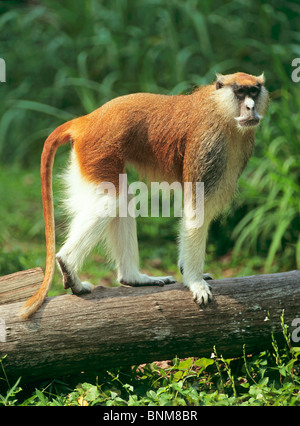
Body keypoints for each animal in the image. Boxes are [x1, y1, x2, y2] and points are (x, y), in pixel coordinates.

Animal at [20, 72, 270, 320]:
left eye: (254, 91)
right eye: (240, 92)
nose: (250, 107)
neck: (220, 110)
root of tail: (88, 119)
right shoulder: (208, 146)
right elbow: (196, 209)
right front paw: (195, 281)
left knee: (123, 200)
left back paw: (133, 278)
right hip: (98, 150)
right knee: (114, 199)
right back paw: (69, 266)